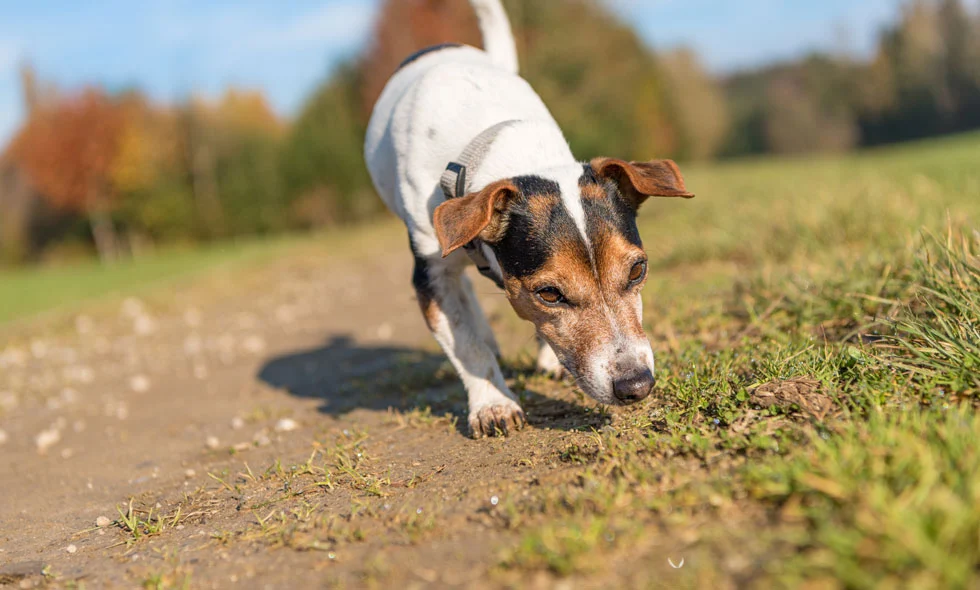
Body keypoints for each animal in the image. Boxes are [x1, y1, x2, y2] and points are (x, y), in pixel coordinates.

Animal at [364, 0, 692, 440]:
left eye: (637, 270)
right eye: (549, 294)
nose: (635, 385)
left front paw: (545, 359)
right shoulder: (430, 273)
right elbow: (467, 344)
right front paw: (493, 404)